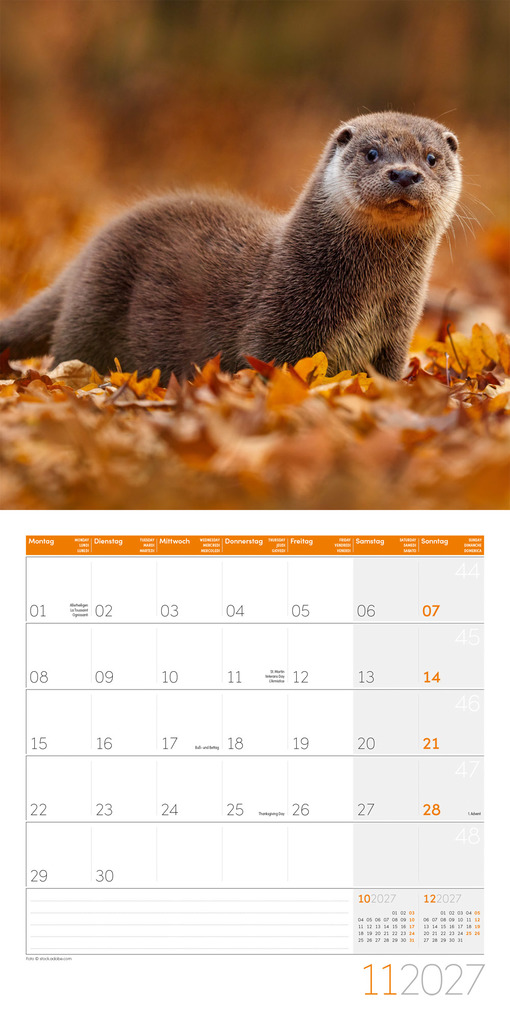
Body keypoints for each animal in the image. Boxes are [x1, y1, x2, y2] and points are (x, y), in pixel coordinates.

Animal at [0, 112, 461, 382]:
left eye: (431, 157)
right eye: (371, 152)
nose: (404, 174)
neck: (369, 297)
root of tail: (83, 258)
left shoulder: (396, 337)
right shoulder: (277, 319)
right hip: (94, 304)